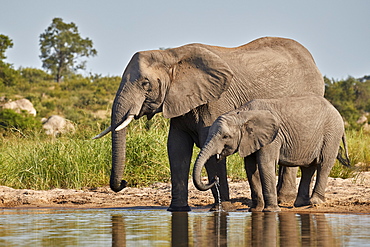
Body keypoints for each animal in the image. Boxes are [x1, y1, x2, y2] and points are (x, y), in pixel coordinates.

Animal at [93, 36, 324, 210]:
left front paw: (222, 208)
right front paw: (177, 209)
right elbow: (176, 148)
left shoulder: (216, 100)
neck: (172, 56)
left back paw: (284, 199)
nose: (123, 183)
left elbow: (209, 144)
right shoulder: (179, 101)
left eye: (145, 84)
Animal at [194, 95, 350, 211]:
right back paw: (301, 204)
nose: (214, 179)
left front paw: (271, 211)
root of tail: (336, 110)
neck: (242, 114)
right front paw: (255, 210)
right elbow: (251, 168)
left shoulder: (272, 138)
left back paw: (315, 203)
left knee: (323, 164)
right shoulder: (250, 140)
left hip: (331, 134)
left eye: (225, 136)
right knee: (308, 168)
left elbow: (265, 164)